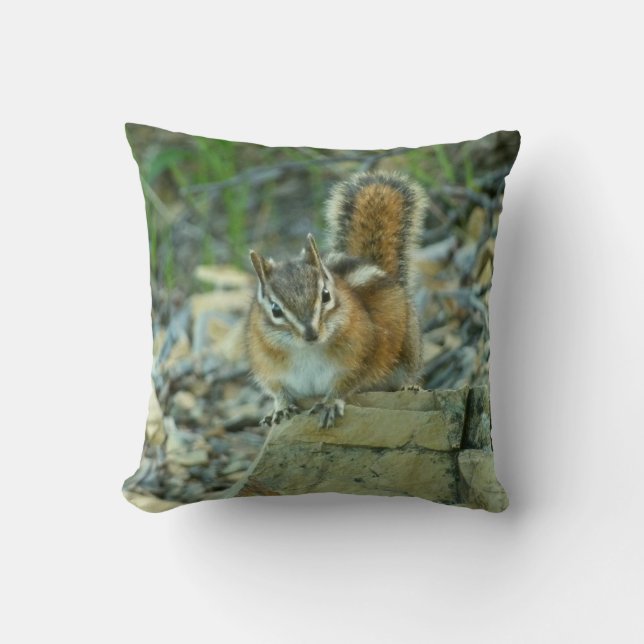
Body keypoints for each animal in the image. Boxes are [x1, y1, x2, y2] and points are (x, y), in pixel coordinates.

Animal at [246, 171, 428, 428]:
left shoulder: (359, 359)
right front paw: (279, 408)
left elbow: (344, 385)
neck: (307, 351)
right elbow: (278, 391)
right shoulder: (268, 368)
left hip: (410, 345)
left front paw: (330, 403)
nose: (311, 334)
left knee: (410, 371)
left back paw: (409, 386)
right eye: (275, 310)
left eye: (325, 295)